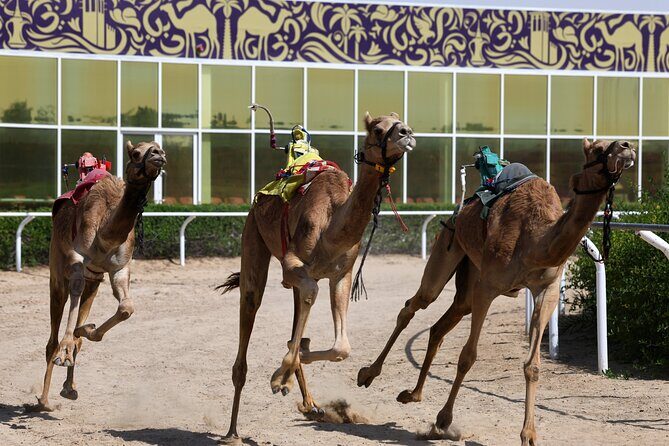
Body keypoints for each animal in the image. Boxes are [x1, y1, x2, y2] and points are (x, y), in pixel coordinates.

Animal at [26, 141, 166, 412]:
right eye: (136, 153)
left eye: (160, 149)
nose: (158, 155)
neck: (105, 233)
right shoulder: (77, 260)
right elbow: (75, 288)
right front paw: (66, 349)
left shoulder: (119, 269)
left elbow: (126, 308)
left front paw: (87, 331)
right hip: (56, 270)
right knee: (52, 334)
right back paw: (44, 400)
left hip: (95, 281)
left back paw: (69, 387)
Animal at [219, 113, 415, 444]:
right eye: (378, 129)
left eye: (401, 120)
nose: (407, 133)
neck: (332, 229)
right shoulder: (292, 263)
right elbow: (311, 290)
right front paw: (279, 377)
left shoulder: (341, 276)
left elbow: (342, 347)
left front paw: (300, 356)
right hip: (253, 235)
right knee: (251, 305)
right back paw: (232, 431)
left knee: (299, 312)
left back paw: (311, 404)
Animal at [357, 139, 636, 445]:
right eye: (597, 149)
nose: (627, 146)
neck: (536, 241)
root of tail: (459, 209)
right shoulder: (488, 286)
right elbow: (468, 356)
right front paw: (443, 420)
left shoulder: (546, 290)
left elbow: (533, 365)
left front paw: (529, 435)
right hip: (448, 248)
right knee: (414, 305)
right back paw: (367, 374)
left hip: (468, 281)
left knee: (438, 326)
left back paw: (412, 394)